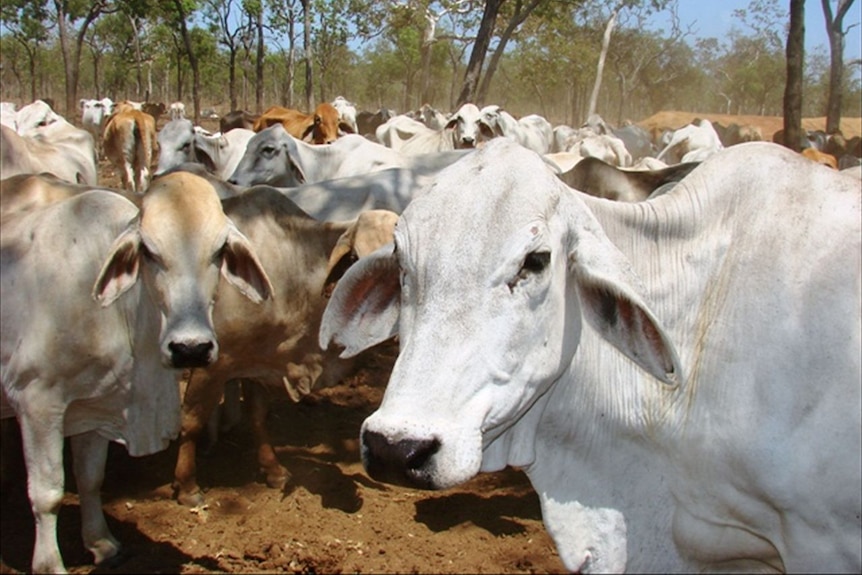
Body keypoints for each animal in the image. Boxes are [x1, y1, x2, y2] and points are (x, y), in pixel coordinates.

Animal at [0, 172, 274, 575]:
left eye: (219, 251)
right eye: (149, 252)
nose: (190, 348)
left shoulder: (93, 407)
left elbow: (90, 478)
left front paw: (101, 543)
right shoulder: (38, 403)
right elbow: (47, 493)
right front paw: (50, 565)